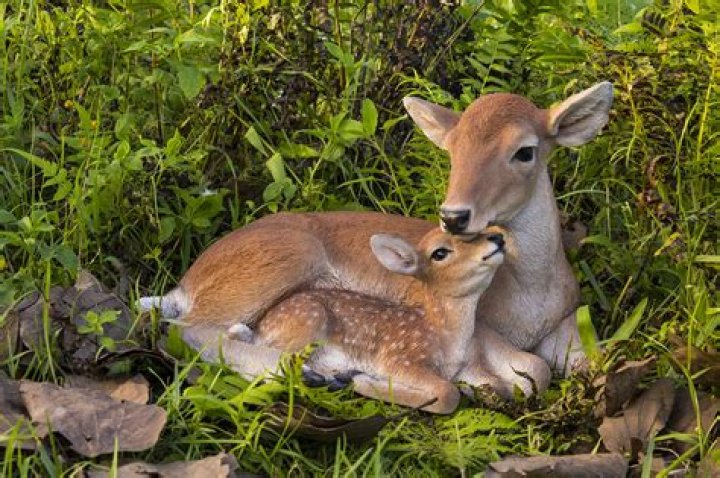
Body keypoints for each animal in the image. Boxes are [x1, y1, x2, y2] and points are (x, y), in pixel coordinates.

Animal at [229, 227, 510, 414]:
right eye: (439, 252)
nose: (497, 237)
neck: (449, 337)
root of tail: (262, 326)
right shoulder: (401, 357)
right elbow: (448, 394)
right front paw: (364, 381)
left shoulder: (468, 367)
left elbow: (500, 386)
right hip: (308, 318)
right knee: (262, 357)